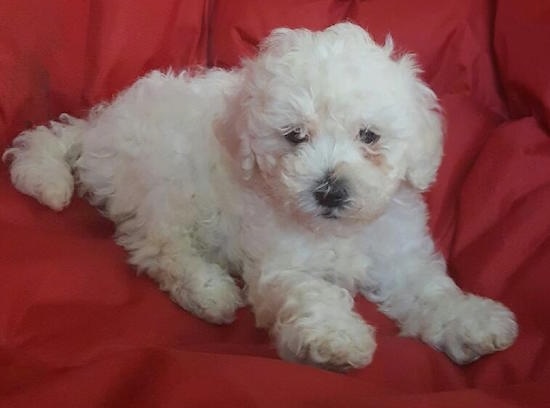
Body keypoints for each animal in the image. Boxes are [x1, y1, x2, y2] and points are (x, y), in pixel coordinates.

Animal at [6, 23, 520, 370]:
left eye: (370, 136)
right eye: (294, 136)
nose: (330, 189)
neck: (335, 231)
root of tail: (100, 126)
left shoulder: (400, 255)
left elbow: (431, 290)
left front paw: (472, 321)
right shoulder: (282, 262)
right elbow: (310, 291)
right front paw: (336, 338)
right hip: (163, 186)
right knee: (159, 247)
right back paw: (209, 292)